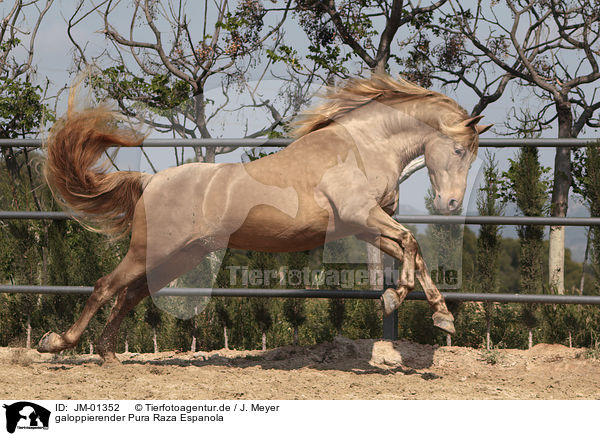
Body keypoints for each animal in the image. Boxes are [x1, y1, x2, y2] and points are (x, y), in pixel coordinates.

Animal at [37, 75, 490, 364]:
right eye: (458, 150)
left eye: (471, 155)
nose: (450, 203)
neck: (363, 145)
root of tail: (151, 181)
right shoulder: (362, 215)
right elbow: (411, 243)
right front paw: (396, 298)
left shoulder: (365, 224)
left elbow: (413, 251)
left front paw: (441, 316)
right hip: (153, 249)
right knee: (105, 287)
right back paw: (56, 343)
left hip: (178, 257)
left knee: (129, 295)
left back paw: (108, 355)